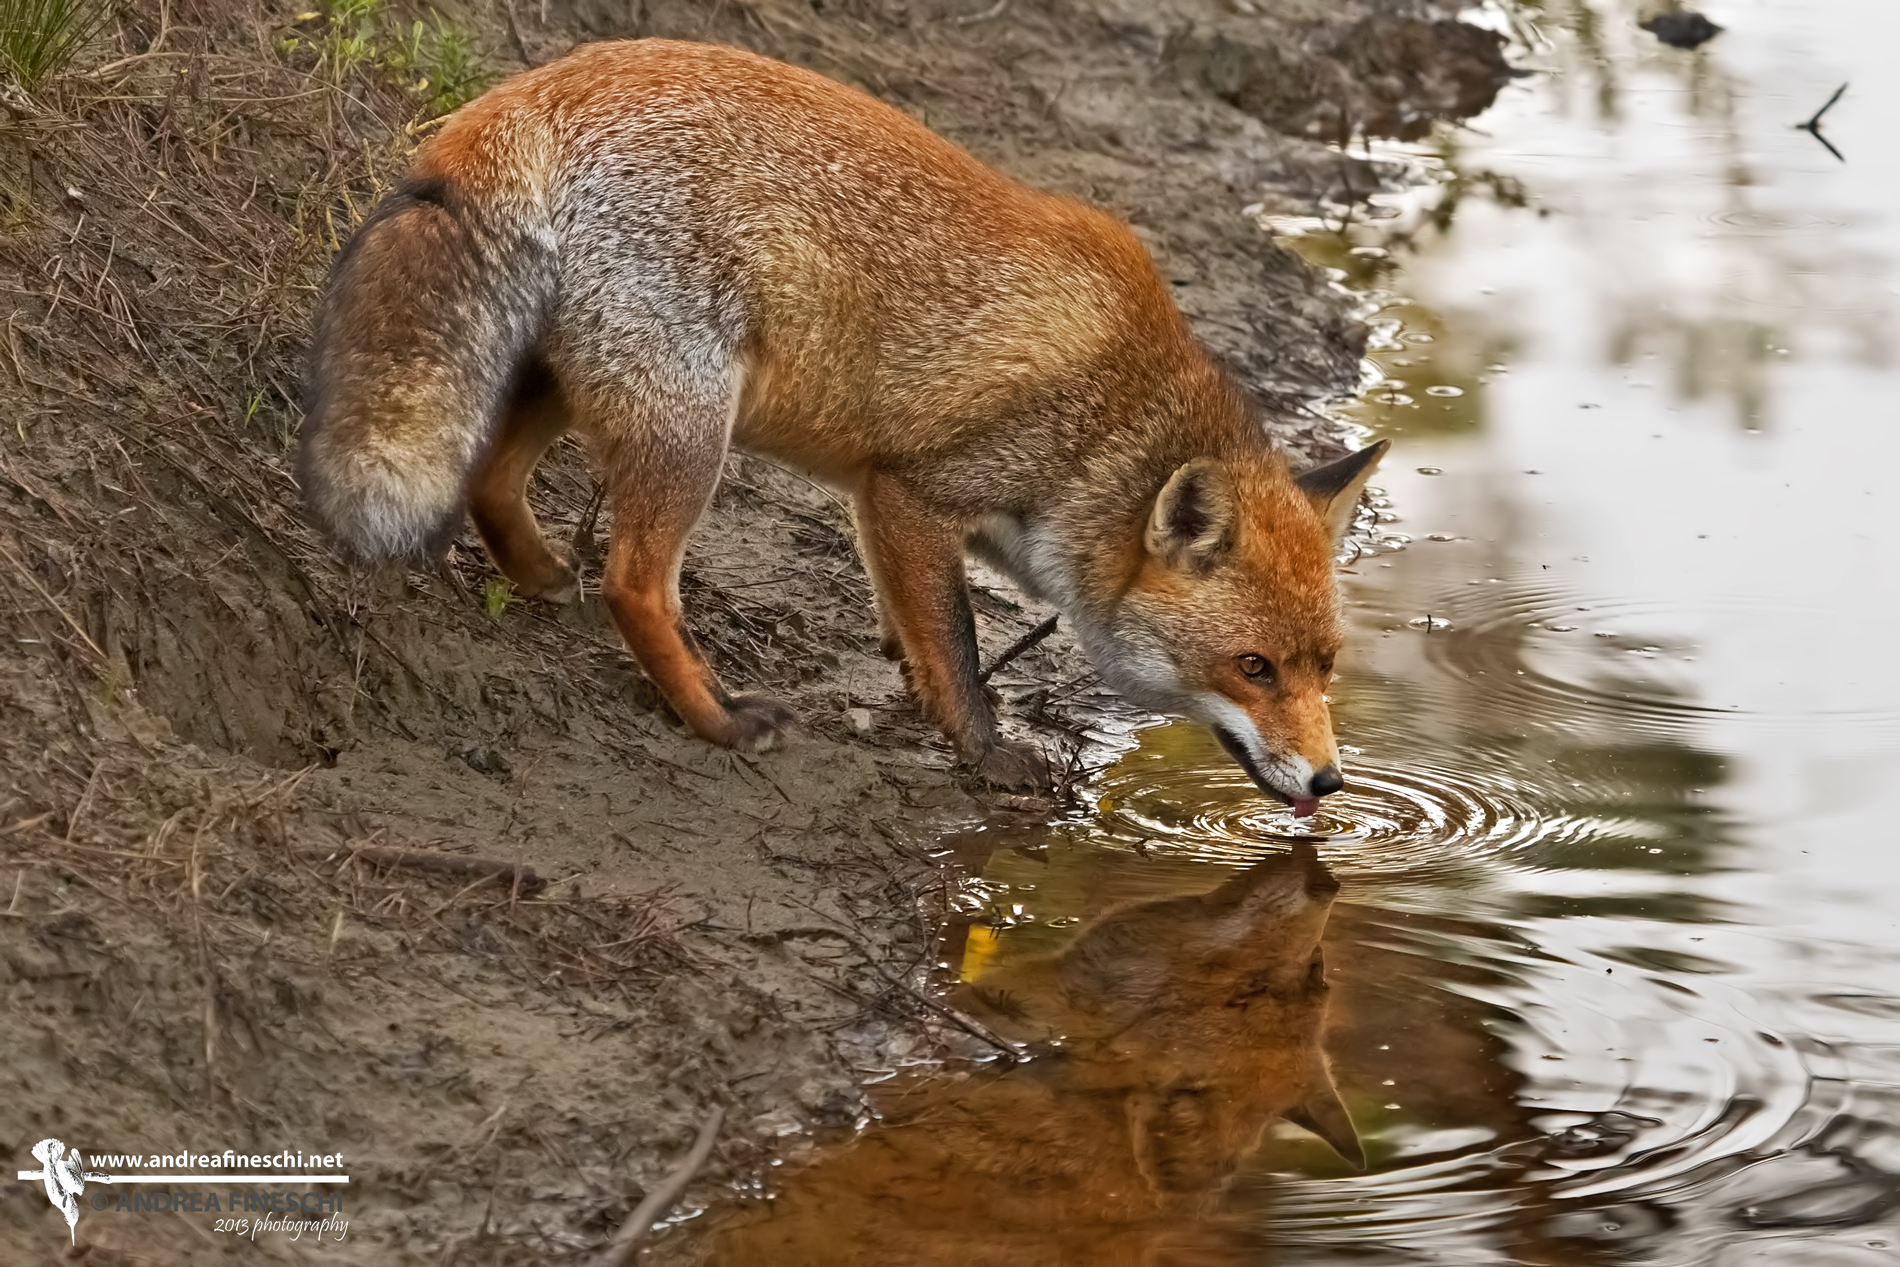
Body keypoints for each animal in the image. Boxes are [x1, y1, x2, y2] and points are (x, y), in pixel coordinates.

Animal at [299, 38, 1387, 799]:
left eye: (1324, 665)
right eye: (1252, 667)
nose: (1331, 782)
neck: (1106, 425)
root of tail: (541, 84)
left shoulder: (876, 499)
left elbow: (920, 634)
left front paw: (913, 690)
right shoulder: (913, 492)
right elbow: (959, 645)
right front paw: (984, 752)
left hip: (569, 384)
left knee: (492, 483)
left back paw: (541, 582)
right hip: (691, 432)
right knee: (635, 584)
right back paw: (716, 719)